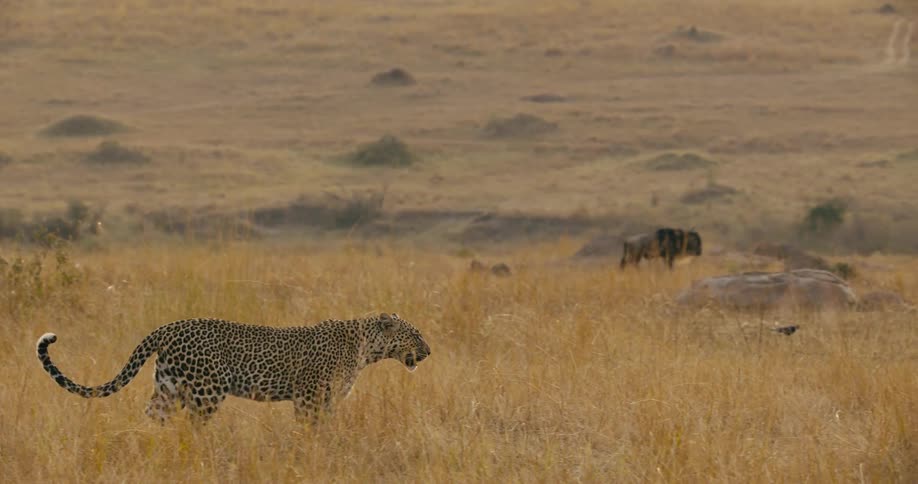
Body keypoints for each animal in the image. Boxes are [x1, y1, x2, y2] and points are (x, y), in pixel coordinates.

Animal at [36, 312, 431, 425]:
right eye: (416, 334)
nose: (428, 351)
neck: (366, 347)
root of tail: (168, 327)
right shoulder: (310, 396)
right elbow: (312, 429)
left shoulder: (325, 399)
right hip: (206, 391)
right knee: (194, 425)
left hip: (168, 386)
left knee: (154, 416)